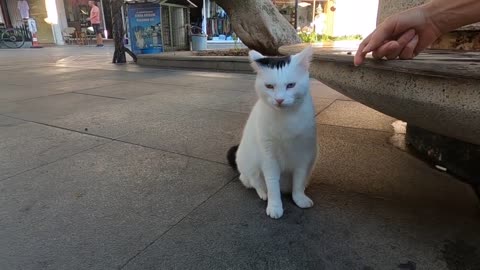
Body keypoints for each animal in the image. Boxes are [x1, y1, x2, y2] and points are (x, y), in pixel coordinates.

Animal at [227, 47, 316, 219]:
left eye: (291, 85)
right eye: (269, 86)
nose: (279, 100)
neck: (286, 118)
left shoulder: (303, 155)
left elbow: (299, 180)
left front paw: (299, 198)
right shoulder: (268, 156)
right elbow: (272, 183)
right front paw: (275, 206)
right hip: (250, 165)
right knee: (253, 182)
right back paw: (263, 193)